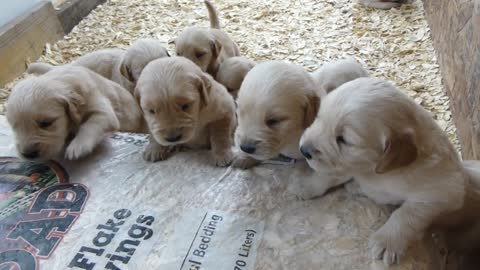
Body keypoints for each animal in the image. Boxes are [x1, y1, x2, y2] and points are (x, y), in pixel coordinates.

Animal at [6, 65, 145, 162]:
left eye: (46, 123)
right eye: (14, 127)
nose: (28, 155)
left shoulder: (101, 109)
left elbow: (90, 125)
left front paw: (78, 146)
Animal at [300, 77, 480, 266]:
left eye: (343, 139)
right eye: (318, 118)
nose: (303, 150)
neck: (373, 172)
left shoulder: (443, 192)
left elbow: (406, 214)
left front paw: (387, 241)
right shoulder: (350, 165)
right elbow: (331, 174)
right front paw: (307, 186)